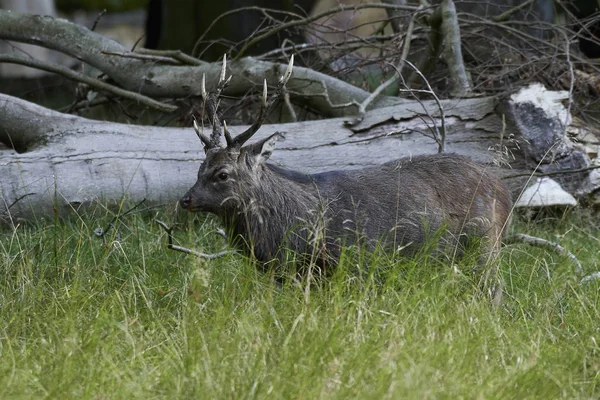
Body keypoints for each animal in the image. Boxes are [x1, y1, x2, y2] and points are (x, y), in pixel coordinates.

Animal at [178, 54, 510, 302]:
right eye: (199, 169)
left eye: (222, 174)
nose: (186, 200)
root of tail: (502, 189)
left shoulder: (353, 262)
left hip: (484, 242)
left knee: (493, 290)